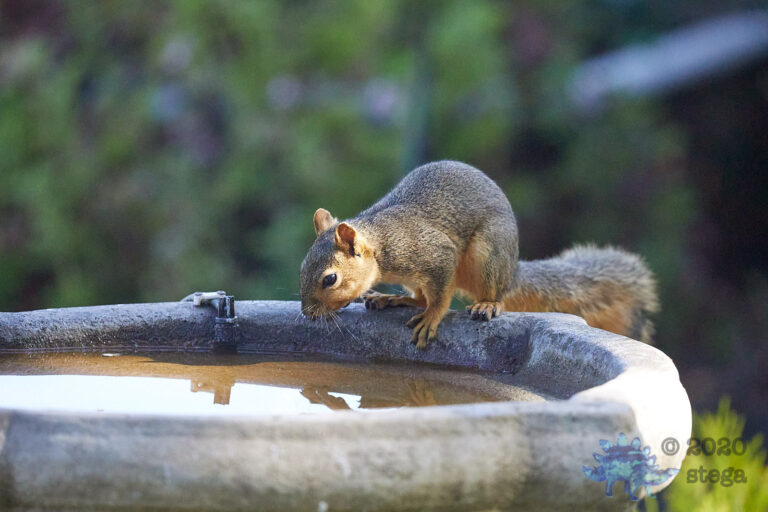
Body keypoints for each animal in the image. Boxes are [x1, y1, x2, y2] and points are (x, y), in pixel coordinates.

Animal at [300, 160, 659, 348]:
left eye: (330, 279)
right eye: (303, 267)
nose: (307, 314)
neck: (382, 242)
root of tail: (513, 270)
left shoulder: (435, 253)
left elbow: (440, 298)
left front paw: (432, 319)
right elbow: (426, 297)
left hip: (488, 255)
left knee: (492, 293)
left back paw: (487, 304)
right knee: (418, 296)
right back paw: (393, 298)